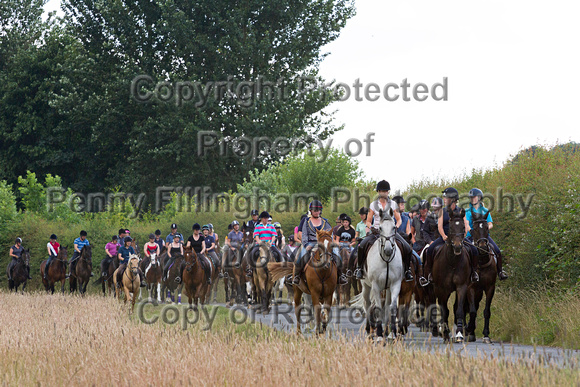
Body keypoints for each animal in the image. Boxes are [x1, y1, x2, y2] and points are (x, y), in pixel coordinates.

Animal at [352, 209, 402, 342]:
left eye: (394, 227)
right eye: (380, 228)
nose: (388, 250)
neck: (386, 260)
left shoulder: (395, 284)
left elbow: (392, 307)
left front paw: (392, 333)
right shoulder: (375, 285)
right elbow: (378, 307)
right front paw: (379, 335)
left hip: (387, 288)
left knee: (386, 305)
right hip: (366, 286)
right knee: (368, 304)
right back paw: (370, 331)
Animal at [430, 208, 472, 344]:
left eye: (463, 227)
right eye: (451, 227)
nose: (458, 246)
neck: (452, 261)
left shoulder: (461, 286)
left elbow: (458, 310)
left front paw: (459, 334)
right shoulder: (441, 289)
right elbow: (444, 311)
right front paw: (446, 335)